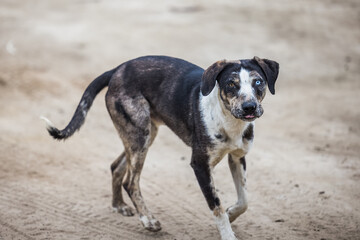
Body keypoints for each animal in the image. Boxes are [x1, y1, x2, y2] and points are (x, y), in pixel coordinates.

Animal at [41, 55, 278, 239]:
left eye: (258, 82)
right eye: (231, 84)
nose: (249, 107)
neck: (229, 119)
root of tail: (117, 70)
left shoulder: (237, 157)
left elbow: (244, 200)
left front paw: (231, 214)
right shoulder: (200, 165)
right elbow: (216, 206)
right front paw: (227, 232)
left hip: (141, 134)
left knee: (116, 167)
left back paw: (119, 205)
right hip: (140, 135)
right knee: (131, 182)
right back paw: (147, 220)